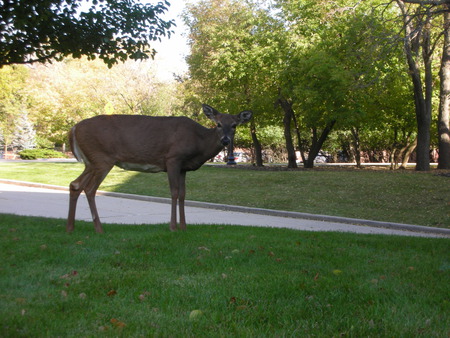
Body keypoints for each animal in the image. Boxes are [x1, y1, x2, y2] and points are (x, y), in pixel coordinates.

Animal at [66, 104, 253, 234]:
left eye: (235, 125)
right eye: (219, 124)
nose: (225, 140)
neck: (199, 142)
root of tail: (73, 129)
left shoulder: (183, 168)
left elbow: (183, 195)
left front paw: (184, 227)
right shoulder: (173, 159)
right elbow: (174, 193)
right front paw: (173, 227)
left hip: (91, 162)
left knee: (75, 184)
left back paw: (70, 228)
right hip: (102, 158)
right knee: (90, 189)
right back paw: (99, 229)